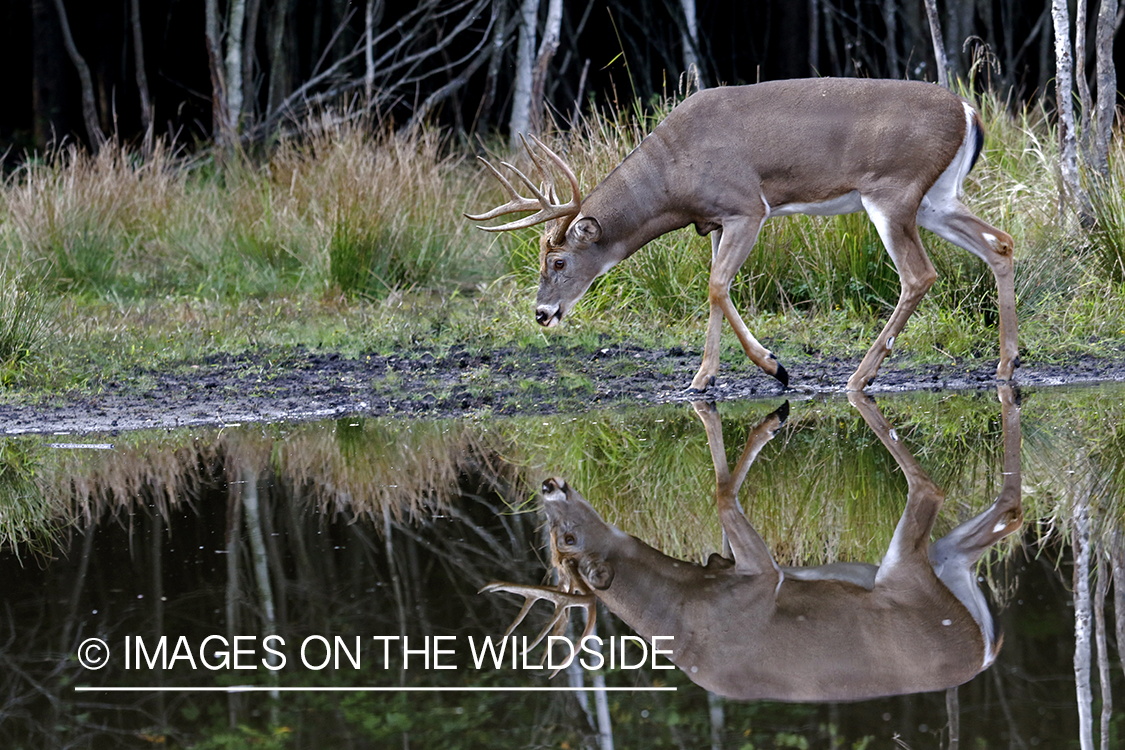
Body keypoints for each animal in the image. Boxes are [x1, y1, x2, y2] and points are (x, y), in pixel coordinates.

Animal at [465, 76, 1021, 393]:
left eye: (558, 261)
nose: (542, 313)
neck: (673, 176)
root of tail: (970, 112)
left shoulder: (746, 206)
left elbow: (715, 286)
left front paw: (774, 367)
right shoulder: (713, 221)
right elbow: (715, 290)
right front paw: (704, 378)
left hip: (893, 191)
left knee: (918, 275)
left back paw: (860, 377)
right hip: (935, 197)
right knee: (1000, 243)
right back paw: (1005, 365)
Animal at [479, 386, 1026, 706]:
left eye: (567, 537)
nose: (548, 484)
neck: (687, 605)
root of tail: (983, 652)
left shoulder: (760, 577)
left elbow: (721, 494)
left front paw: (769, 420)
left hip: (909, 574)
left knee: (935, 490)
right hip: (940, 566)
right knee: (999, 513)